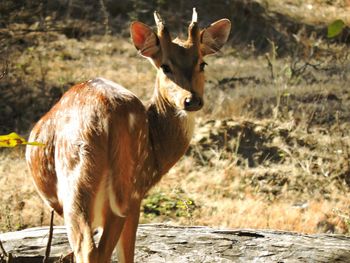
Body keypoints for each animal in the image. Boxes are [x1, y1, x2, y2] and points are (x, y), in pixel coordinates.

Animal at [25, 8, 232, 263]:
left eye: (202, 63)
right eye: (165, 66)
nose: (191, 100)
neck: (155, 154)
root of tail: (107, 117)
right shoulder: (138, 193)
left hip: (88, 183)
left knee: (90, 249)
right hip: (112, 187)